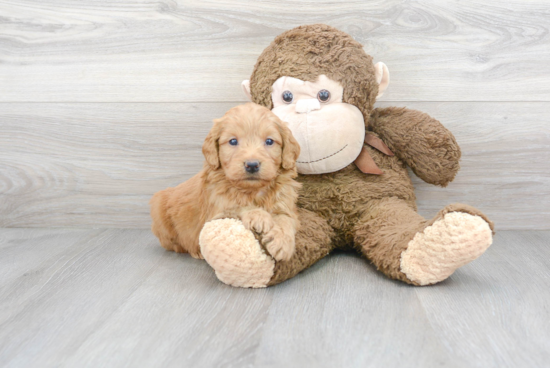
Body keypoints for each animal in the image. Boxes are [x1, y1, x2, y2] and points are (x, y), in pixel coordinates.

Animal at [150, 102, 302, 260]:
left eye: (269, 141)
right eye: (233, 141)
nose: (252, 165)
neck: (252, 191)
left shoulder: (286, 205)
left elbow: (286, 219)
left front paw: (282, 242)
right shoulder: (216, 212)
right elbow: (236, 206)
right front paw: (258, 215)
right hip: (159, 209)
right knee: (174, 244)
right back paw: (195, 251)